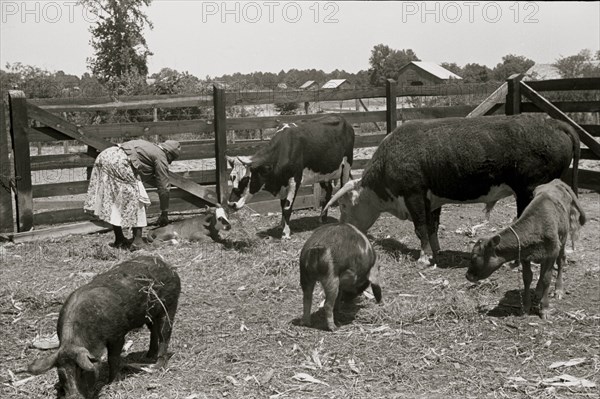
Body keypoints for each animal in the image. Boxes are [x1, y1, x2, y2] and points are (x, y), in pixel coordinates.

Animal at [27, 256, 180, 399]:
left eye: (81, 371)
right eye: (61, 374)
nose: (73, 396)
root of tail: (168, 267)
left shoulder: (117, 335)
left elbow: (113, 358)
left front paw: (111, 383)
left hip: (170, 305)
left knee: (165, 334)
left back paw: (155, 365)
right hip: (150, 315)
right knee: (154, 331)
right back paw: (148, 356)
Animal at [324, 114, 580, 268]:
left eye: (344, 205)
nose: (343, 228)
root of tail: (554, 122)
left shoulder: (414, 195)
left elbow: (420, 227)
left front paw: (424, 257)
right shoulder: (431, 200)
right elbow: (432, 226)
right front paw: (436, 251)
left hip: (529, 191)